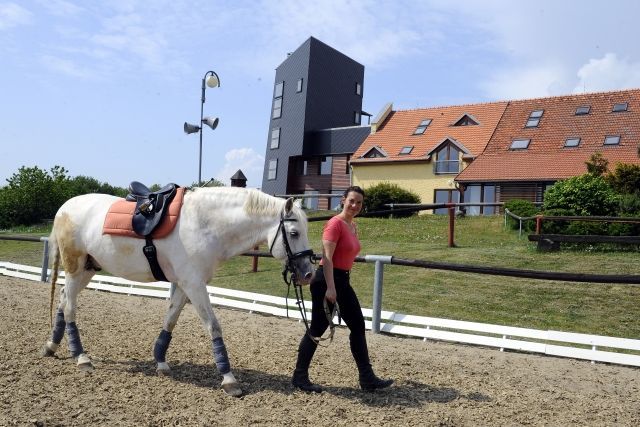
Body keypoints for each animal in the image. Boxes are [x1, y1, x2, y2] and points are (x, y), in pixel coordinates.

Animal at [42, 187, 316, 398]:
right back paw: (81, 357)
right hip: (75, 268)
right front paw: (229, 379)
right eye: (294, 233)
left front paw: (161, 362)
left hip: (88, 269)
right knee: (70, 307)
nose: (308, 273)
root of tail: (64, 208)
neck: (205, 225)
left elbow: (170, 319)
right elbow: (213, 326)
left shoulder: (185, 284)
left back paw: (52, 346)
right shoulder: (194, 283)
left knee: (64, 299)